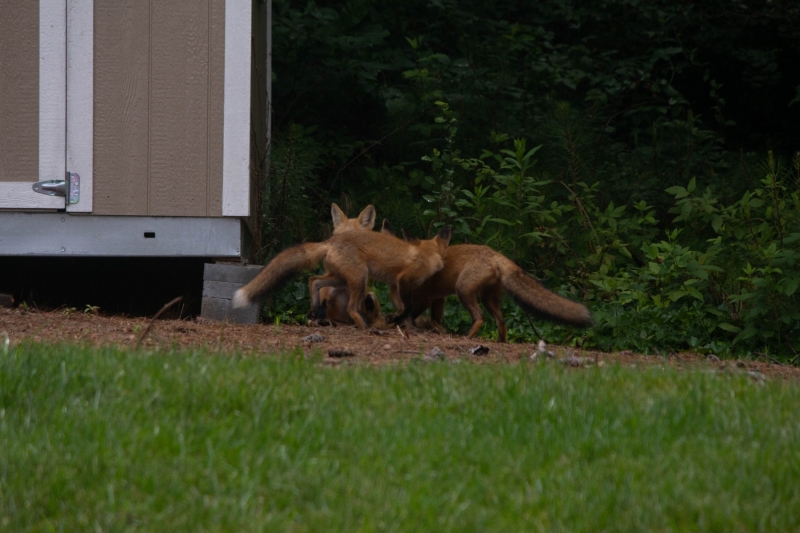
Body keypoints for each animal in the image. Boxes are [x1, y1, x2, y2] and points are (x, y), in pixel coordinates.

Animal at [233, 224, 452, 329]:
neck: (427, 253)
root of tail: (330, 241)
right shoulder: (404, 280)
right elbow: (407, 308)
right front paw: (400, 321)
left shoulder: (394, 286)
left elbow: (402, 308)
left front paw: (406, 325)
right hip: (360, 279)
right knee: (351, 308)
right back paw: (365, 327)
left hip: (341, 279)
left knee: (313, 280)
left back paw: (315, 310)